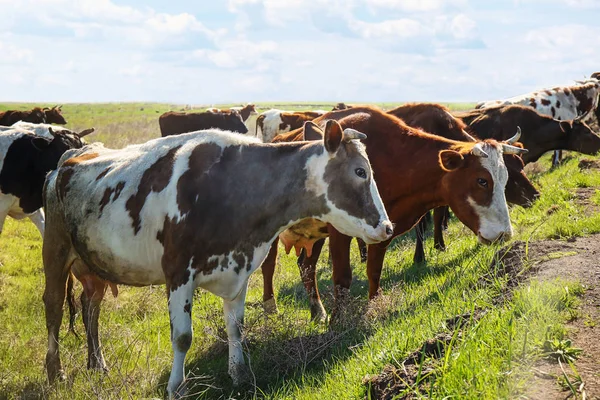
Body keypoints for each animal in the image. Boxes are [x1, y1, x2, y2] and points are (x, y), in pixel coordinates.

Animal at [39, 120, 392, 396]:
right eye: (360, 171)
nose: (387, 227)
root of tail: (64, 162)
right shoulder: (178, 273)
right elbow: (182, 337)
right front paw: (176, 387)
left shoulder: (240, 269)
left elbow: (236, 328)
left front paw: (239, 374)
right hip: (55, 250)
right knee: (54, 308)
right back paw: (56, 372)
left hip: (94, 262)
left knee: (91, 307)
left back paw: (97, 364)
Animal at [262, 107, 524, 322]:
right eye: (481, 180)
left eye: (504, 179)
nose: (504, 233)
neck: (392, 160)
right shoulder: (340, 232)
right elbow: (342, 277)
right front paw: (338, 323)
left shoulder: (383, 230)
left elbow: (374, 271)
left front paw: (373, 308)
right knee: (269, 266)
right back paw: (270, 309)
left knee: (306, 266)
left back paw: (317, 312)